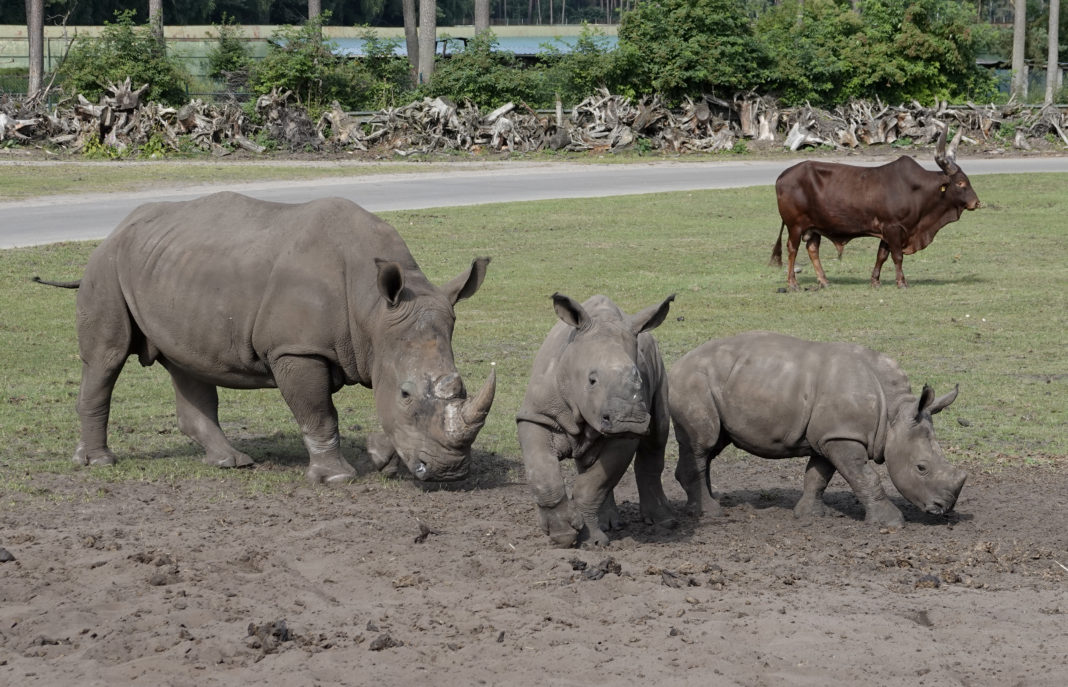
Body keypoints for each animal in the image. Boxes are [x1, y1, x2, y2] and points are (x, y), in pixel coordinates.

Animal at [35, 191, 493, 487]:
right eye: (405, 393)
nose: (449, 472)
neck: (373, 310)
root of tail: (115, 231)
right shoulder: (296, 349)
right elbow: (319, 413)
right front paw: (338, 477)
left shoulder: (385, 340)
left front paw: (384, 459)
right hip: (106, 267)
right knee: (106, 360)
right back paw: (99, 463)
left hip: (172, 270)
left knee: (188, 364)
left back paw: (231, 463)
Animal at [514, 294, 674, 547]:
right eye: (591, 380)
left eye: (639, 379)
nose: (629, 419)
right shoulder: (537, 416)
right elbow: (543, 475)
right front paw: (562, 535)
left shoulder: (626, 435)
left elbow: (594, 483)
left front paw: (592, 542)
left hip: (658, 368)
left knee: (658, 432)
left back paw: (663, 522)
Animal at [674, 331, 969, 527]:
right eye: (921, 468)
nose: (944, 508)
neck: (893, 414)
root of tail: (681, 360)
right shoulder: (843, 435)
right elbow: (865, 477)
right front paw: (891, 523)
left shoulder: (829, 436)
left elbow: (818, 476)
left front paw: (810, 515)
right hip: (694, 381)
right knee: (703, 443)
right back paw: (710, 512)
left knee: (711, 445)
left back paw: (702, 507)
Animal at [773, 126, 978, 290]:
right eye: (960, 183)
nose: (976, 202)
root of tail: (783, 175)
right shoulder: (893, 228)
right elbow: (897, 256)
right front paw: (901, 282)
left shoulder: (887, 231)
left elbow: (882, 255)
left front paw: (875, 281)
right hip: (795, 225)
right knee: (792, 249)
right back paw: (793, 283)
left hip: (815, 227)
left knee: (812, 249)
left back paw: (824, 281)